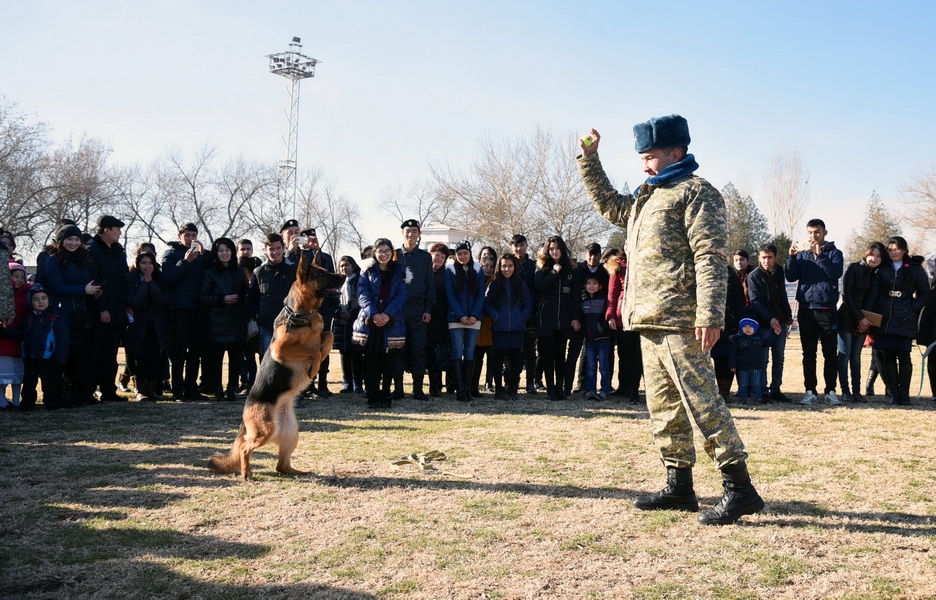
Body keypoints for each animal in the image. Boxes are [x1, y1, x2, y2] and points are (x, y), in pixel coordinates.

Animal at [208, 251, 344, 480]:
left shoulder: (322, 335)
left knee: (281, 465)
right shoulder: (281, 348)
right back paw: (246, 473)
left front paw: (319, 361)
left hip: (291, 433)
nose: (343, 276)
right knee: (244, 447)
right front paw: (314, 367)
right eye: (320, 274)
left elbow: (328, 336)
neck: (302, 314)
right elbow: (314, 350)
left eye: (326, 270)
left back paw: (297, 472)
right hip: (266, 431)